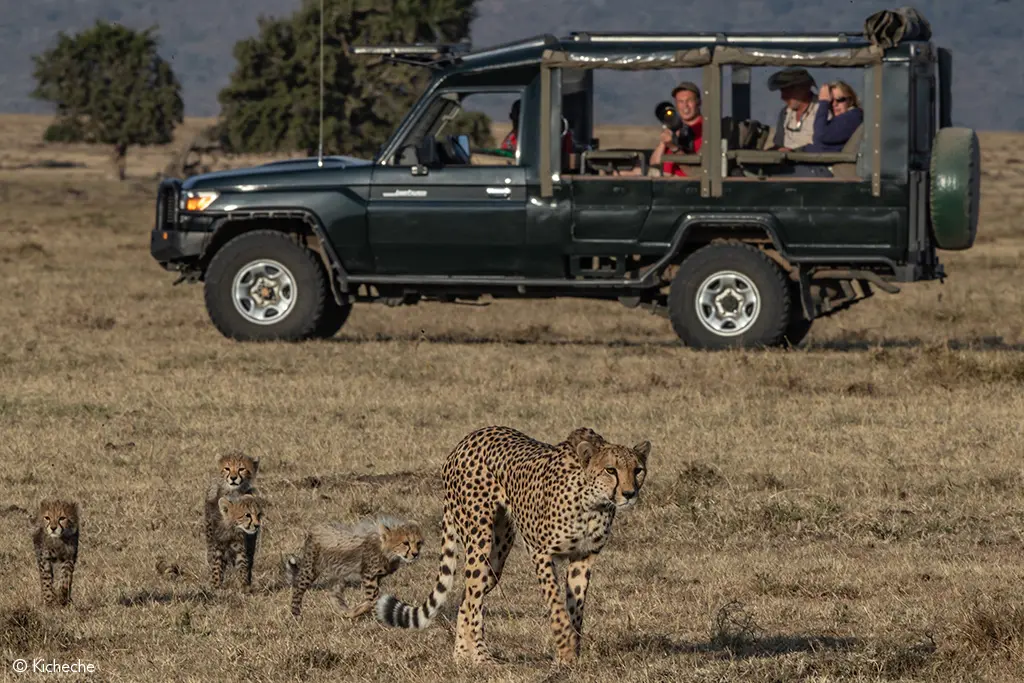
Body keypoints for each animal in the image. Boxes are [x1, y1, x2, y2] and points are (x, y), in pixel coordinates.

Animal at [285, 516, 423, 618]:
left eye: (418, 543)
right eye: (405, 543)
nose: (415, 554)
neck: (387, 551)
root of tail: (315, 527)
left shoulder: (376, 577)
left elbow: (372, 598)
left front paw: (361, 609)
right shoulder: (369, 576)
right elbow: (373, 597)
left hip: (338, 573)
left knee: (333, 593)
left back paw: (346, 612)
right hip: (311, 568)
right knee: (299, 587)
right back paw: (296, 614)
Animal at [375, 425, 650, 665]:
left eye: (638, 470)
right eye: (611, 470)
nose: (629, 494)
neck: (592, 502)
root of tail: (466, 440)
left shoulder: (583, 557)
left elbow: (575, 610)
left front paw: (571, 654)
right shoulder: (541, 553)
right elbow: (557, 607)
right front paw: (565, 650)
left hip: (495, 559)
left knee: (466, 596)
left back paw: (462, 655)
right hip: (479, 540)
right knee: (472, 600)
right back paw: (481, 658)